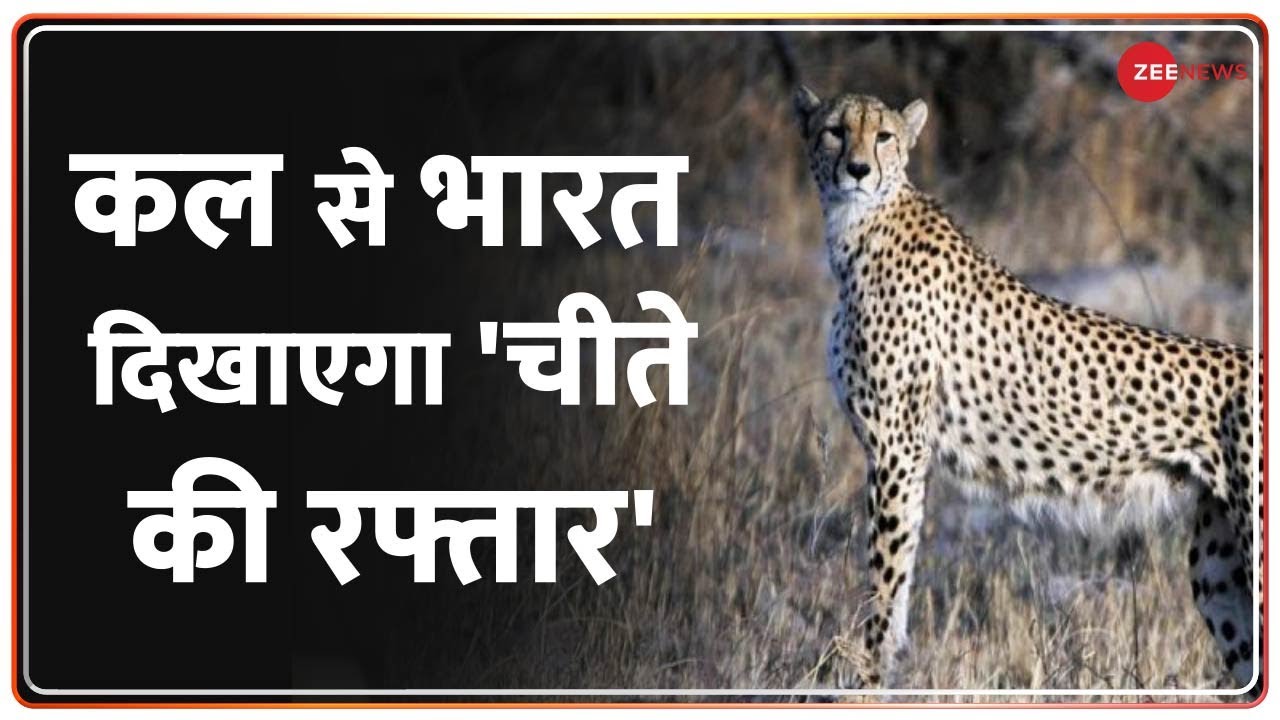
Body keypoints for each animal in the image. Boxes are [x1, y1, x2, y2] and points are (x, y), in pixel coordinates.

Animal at [792, 86, 1262, 699]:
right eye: (835, 131)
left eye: (884, 135)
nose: (857, 169)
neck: (860, 226)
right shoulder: (905, 454)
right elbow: (900, 568)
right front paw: (881, 668)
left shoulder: (896, 448)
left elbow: (885, 575)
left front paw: (865, 679)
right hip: (1218, 565)